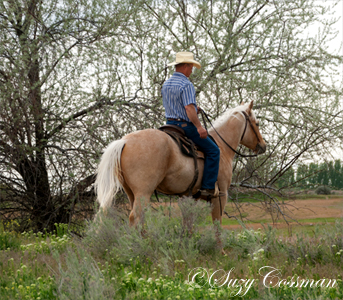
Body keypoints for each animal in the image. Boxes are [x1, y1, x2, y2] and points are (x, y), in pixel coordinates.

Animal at [95, 101, 268, 227]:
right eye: (257, 123)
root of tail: (124, 141)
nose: (263, 145)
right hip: (143, 192)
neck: (221, 146)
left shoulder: (187, 196)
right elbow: (217, 223)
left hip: (131, 193)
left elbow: (188, 223)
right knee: (135, 217)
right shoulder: (221, 195)